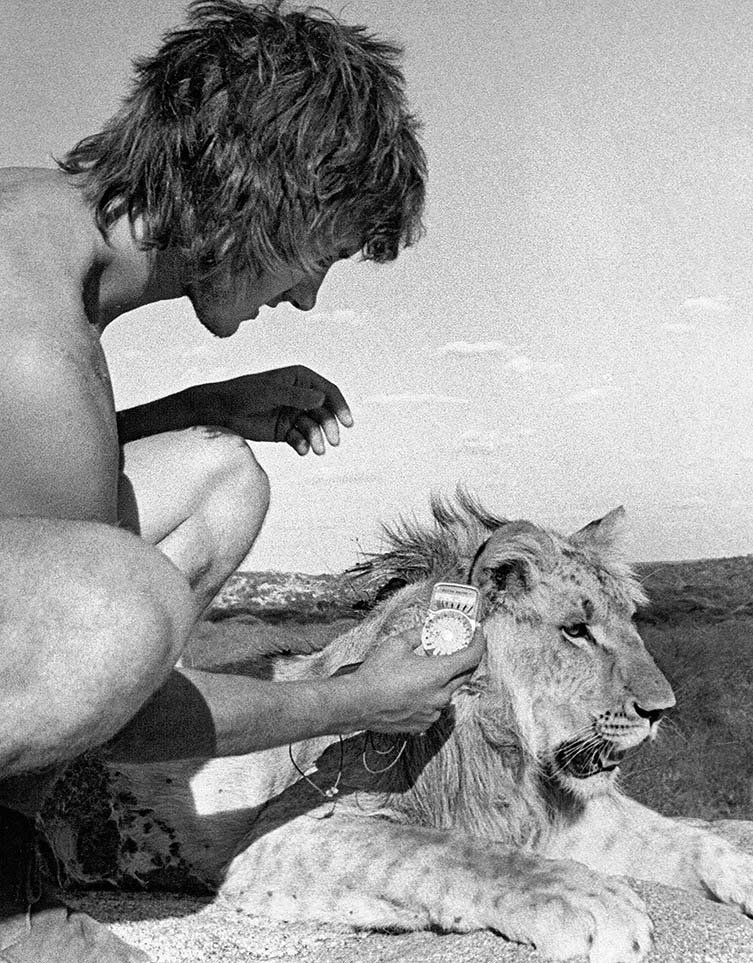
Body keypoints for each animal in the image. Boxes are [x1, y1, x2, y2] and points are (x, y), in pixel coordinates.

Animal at [44, 498, 752, 963]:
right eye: (575, 630)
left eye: (630, 620)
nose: (662, 710)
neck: (509, 758)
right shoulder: (280, 838)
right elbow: (448, 850)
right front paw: (590, 897)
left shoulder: (563, 810)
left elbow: (688, 838)